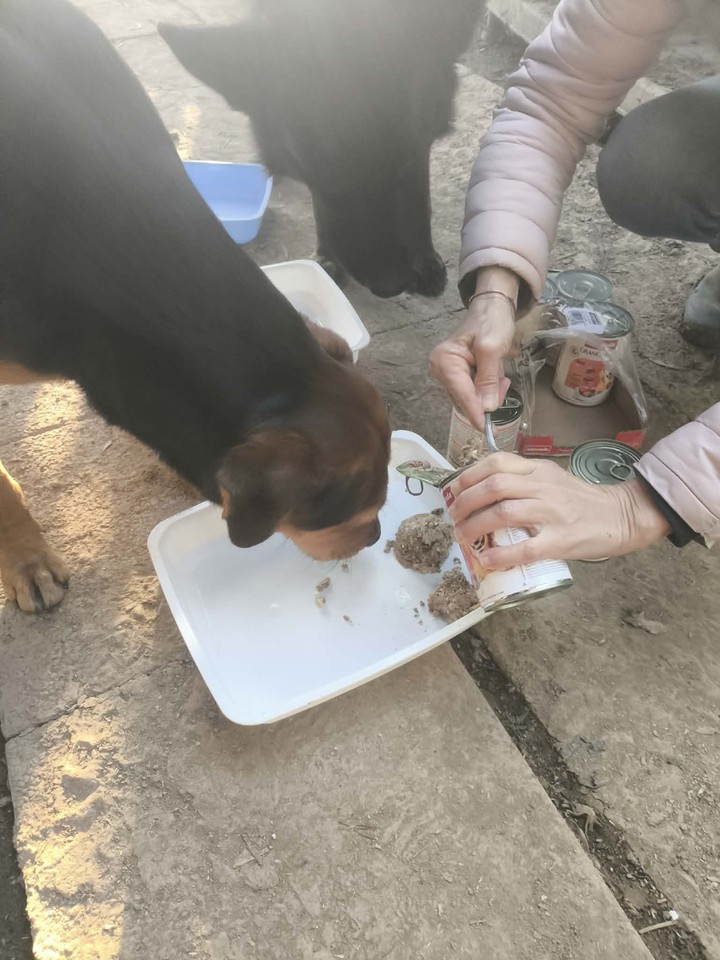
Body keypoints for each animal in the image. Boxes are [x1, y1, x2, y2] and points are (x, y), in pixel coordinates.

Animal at [159, 0, 484, 299]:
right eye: (326, 180)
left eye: (404, 163)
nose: (390, 286)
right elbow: (320, 207)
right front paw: (326, 255)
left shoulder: (420, 148)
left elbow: (419, 197)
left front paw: (425, 257)